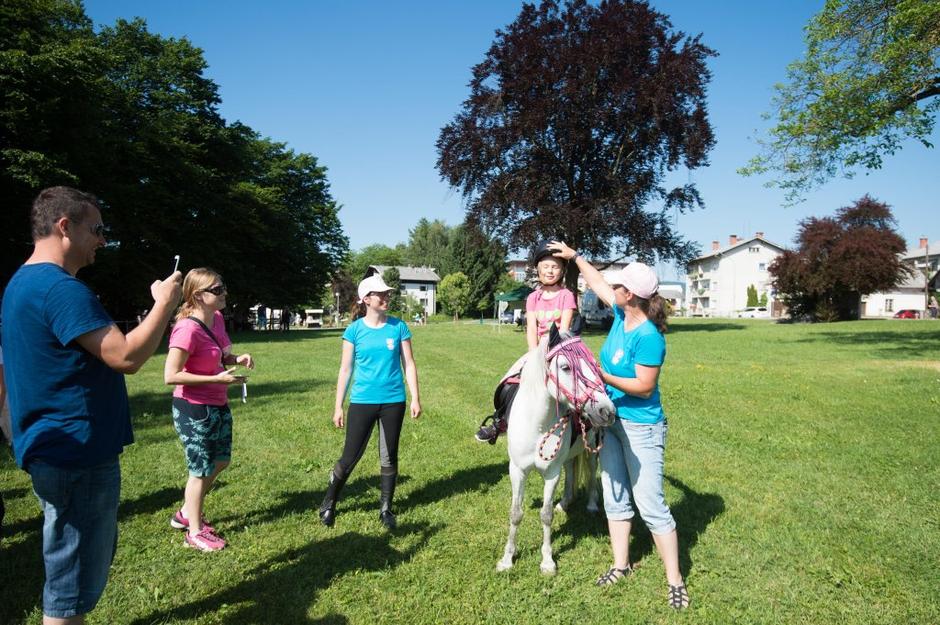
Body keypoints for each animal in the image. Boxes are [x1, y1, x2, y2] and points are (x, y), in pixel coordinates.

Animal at [500, 326, 616, 576]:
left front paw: (547, 561)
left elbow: (546, 515)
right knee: (571, 468)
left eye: (594, 365)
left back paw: (591, 504)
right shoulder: (517, 471)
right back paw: (565, 501)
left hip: (592, 450)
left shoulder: (551, 474)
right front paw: (507, 558)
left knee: (590, 470)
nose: (608, 411)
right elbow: (516, 513)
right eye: (565, 367)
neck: (537, 425)